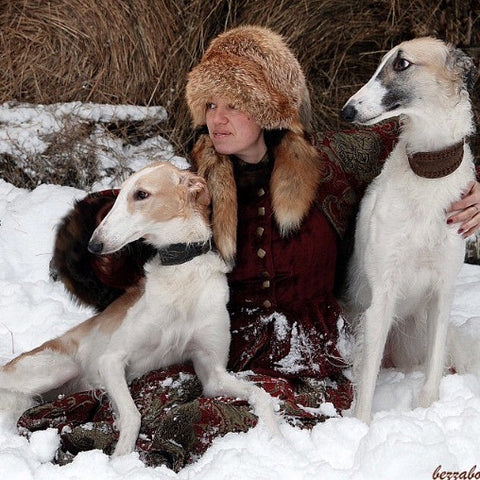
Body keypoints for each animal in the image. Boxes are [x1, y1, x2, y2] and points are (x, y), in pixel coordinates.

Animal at [0, 161, 282, 454]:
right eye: (120, 193)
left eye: (141, 194)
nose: (94, 245)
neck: (182, 275)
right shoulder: (110, 361)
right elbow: (133, 415)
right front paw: (120, 459)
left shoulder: (213, 373)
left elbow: (261, 394)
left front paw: (279, 442)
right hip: (58, 367)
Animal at [340, 37, 478, 424]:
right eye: (378, 65)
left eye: (402, 64)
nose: (346, 111)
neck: (428, 173)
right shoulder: (381, 296)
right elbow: (366, 386)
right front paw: (361, 430)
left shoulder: (443, 291)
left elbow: (433, 371)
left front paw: (427, 411)